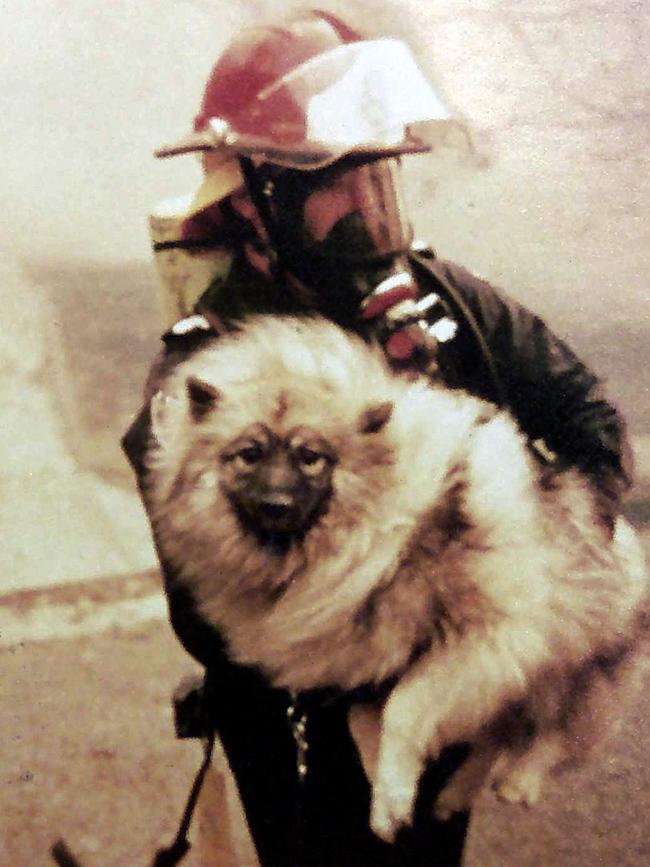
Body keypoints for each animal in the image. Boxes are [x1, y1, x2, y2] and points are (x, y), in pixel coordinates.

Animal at [144, 316, 644, 844]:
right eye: (249, 454)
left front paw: (393, 796)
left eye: (311, 457)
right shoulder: (368, 672)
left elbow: (405, 710)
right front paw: (391, 795)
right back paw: (454, 795)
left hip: (574, 658)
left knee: (552, 729)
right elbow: (370, 729)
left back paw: (520, 779)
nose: (276, 504)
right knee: (492, 737)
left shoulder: (485, 642)